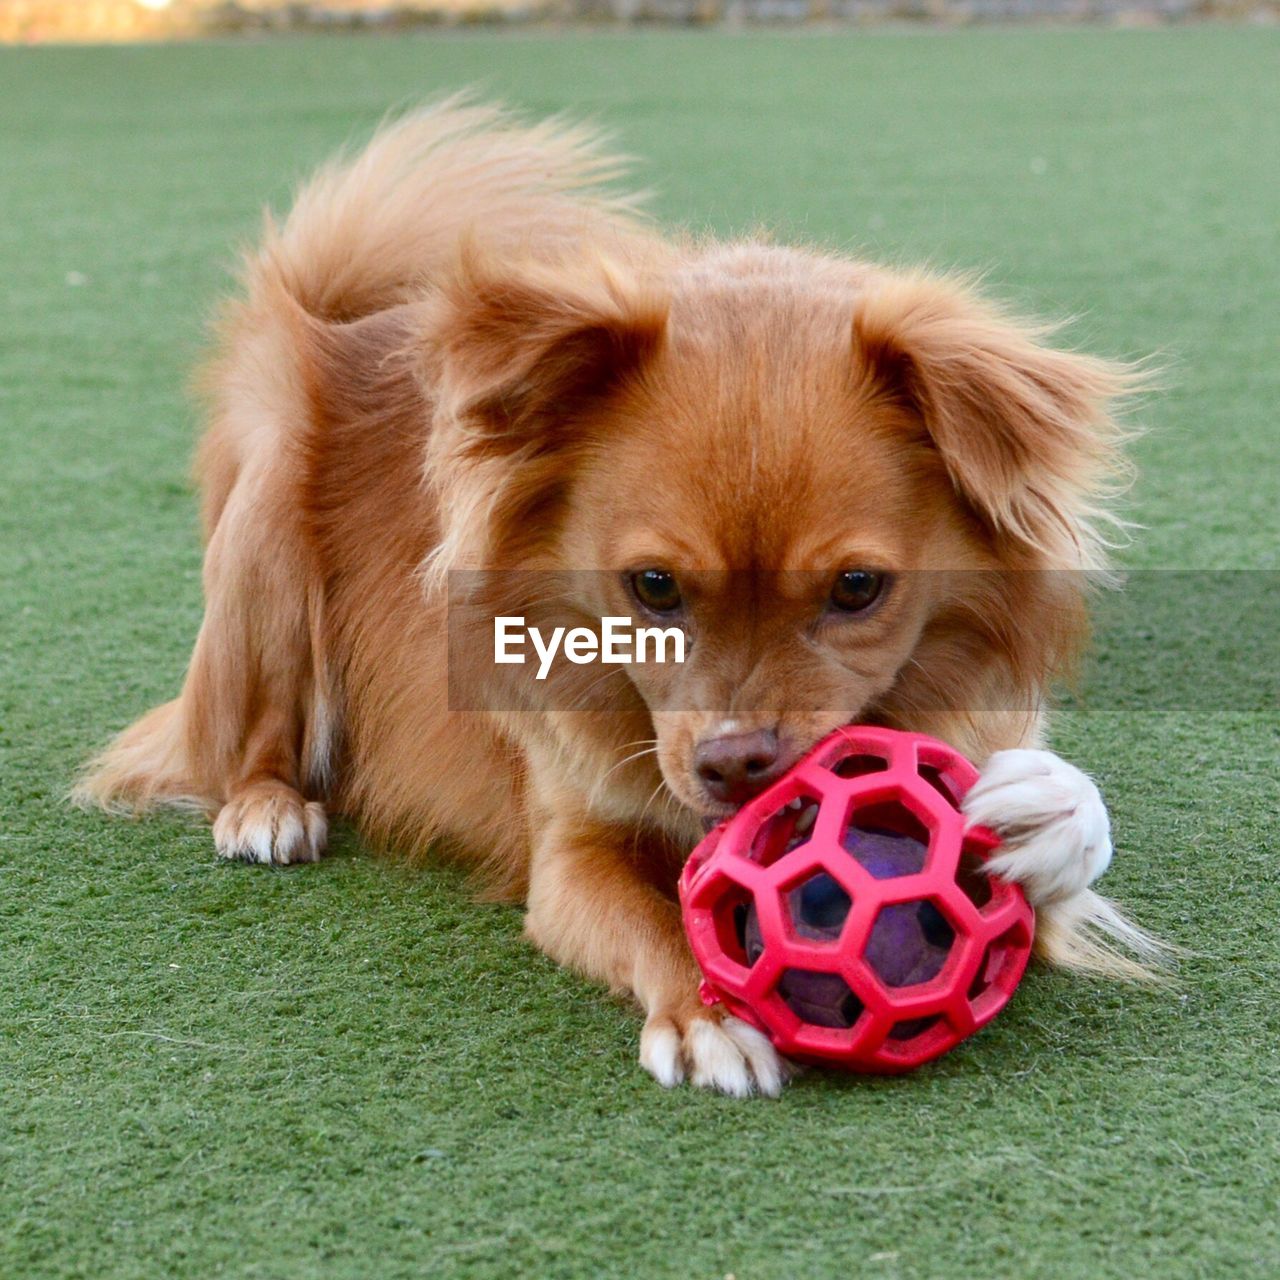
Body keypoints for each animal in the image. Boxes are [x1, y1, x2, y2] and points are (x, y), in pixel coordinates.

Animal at [80, 102, 1162, 1100]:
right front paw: (709, 1010)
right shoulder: (567, 856)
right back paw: (266, 806)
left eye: (858, 589)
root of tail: (338, 323)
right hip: (266, 521)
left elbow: (1065, 831)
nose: (735, 763)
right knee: (239, 736)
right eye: (651, 588)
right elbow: (649, 916)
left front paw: (1044, 811)